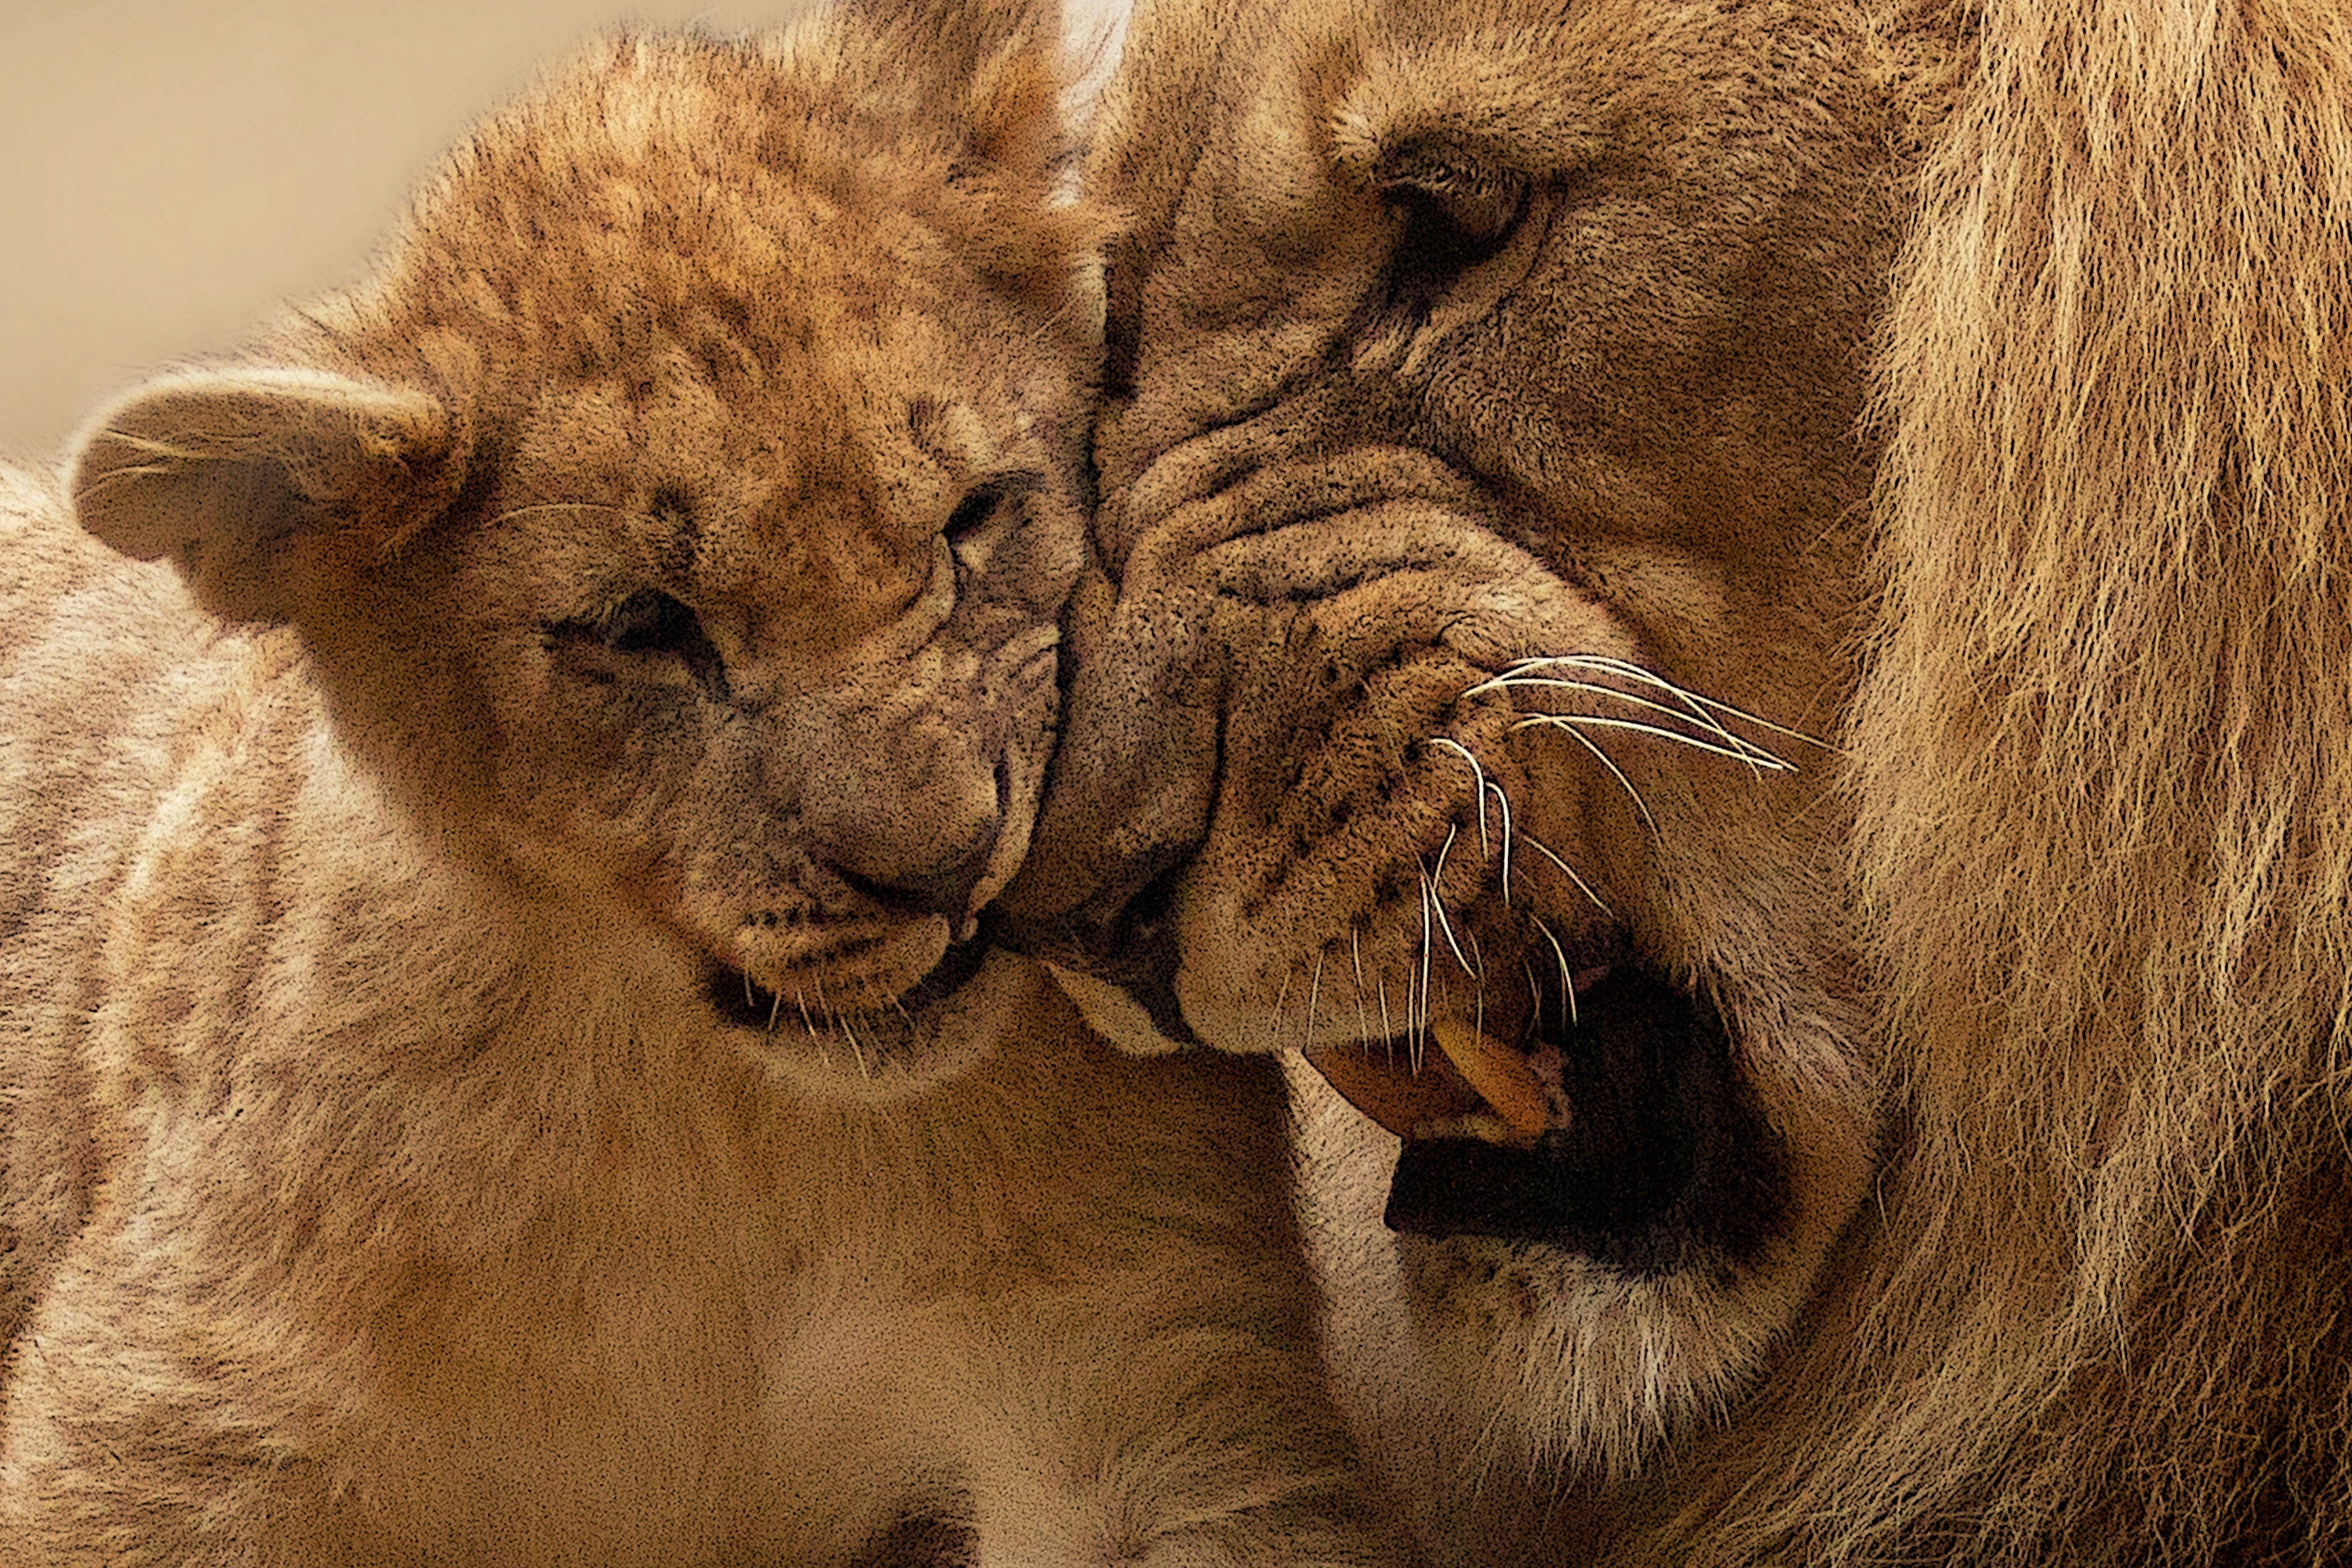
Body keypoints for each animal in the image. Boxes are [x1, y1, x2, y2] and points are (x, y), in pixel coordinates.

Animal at [0, 4, 1401, 1562]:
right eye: (641, 626)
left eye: (974, 516)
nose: (951, 864)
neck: (726, 1129)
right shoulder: (181, 1421)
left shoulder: (1143, 1378)